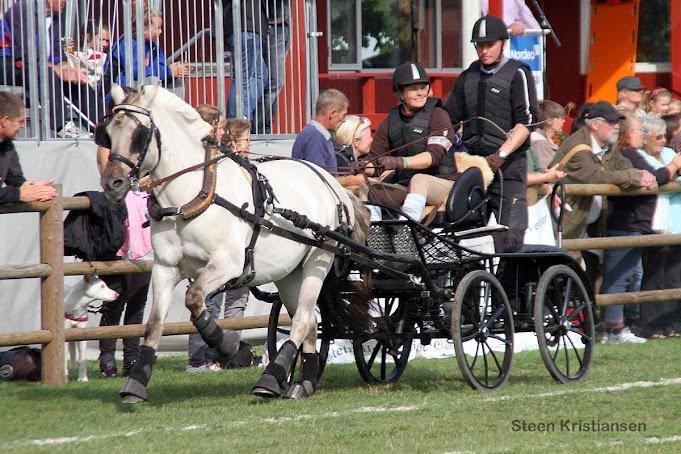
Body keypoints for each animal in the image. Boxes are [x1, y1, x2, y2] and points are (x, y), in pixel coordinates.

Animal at [99, 86, 370, 404]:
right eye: (106, 133)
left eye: (139, 134)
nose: (112, 183)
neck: (194, 196)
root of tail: (330, 181)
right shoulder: (165, 267)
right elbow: (154, 323)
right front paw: (136, 382)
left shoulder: (226, 265)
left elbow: (193, 297)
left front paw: (228, 347)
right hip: (291, 273)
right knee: (309, 324)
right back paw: (304, 381)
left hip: (319, 261)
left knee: (303, 319)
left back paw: (271, 377)